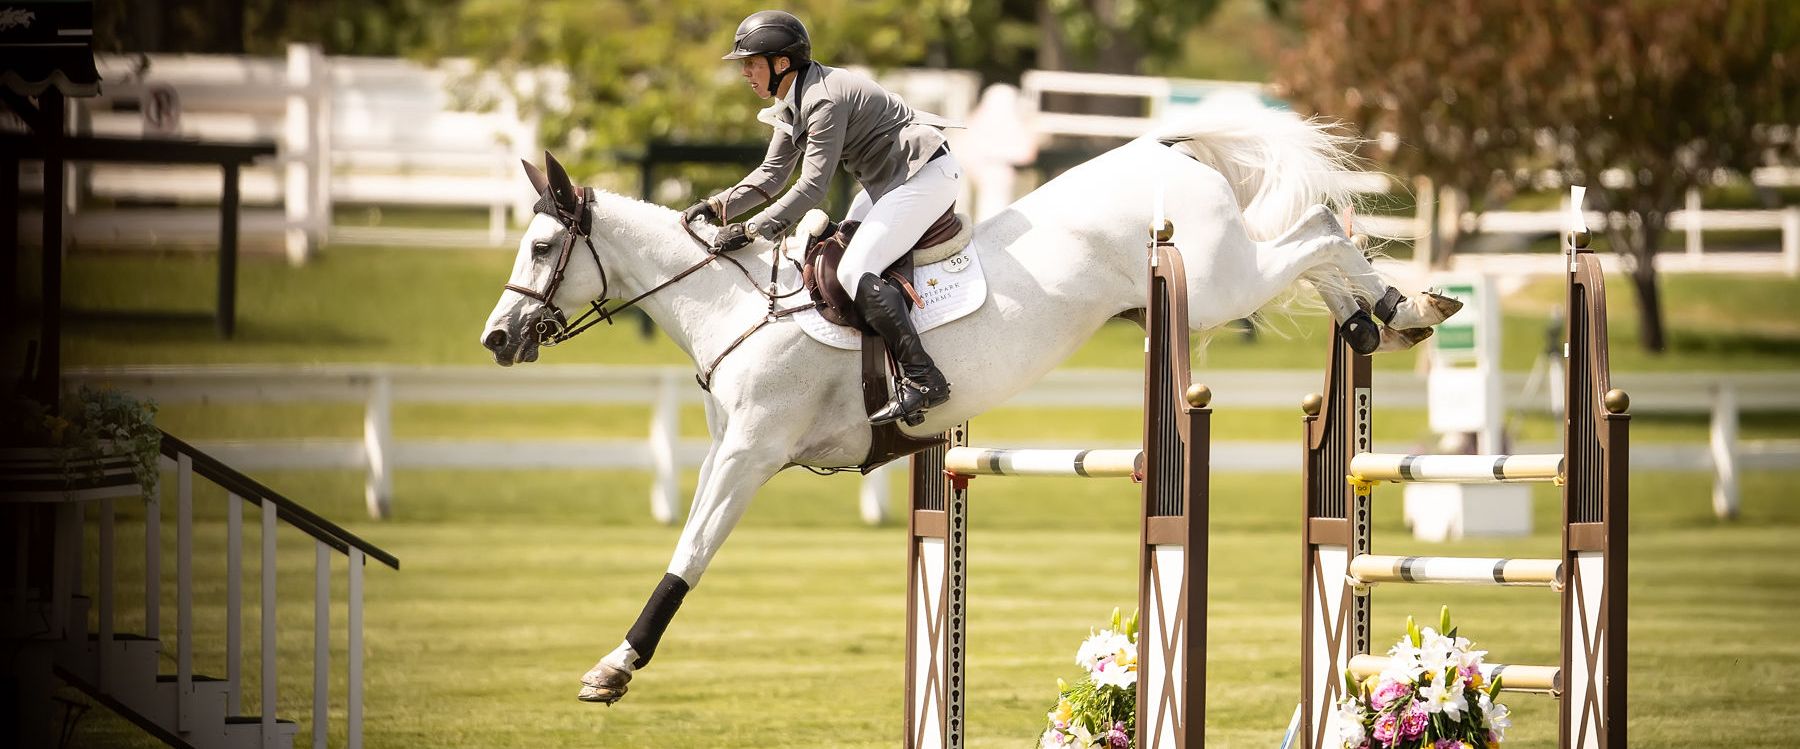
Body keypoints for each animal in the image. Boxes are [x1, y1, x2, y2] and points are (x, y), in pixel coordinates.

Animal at [478, 108, 1461, 705]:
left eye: (541, 247)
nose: (495, 339)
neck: (733, 305)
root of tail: (1164, 143)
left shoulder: (749, 456)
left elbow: (688, 552)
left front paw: (613, 667)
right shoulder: (744, 451)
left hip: (1218, 282)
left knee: (1320, 232)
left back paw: (1407, 304)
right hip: (1213, 285)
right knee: (1316, 248)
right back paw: (1380, 316)